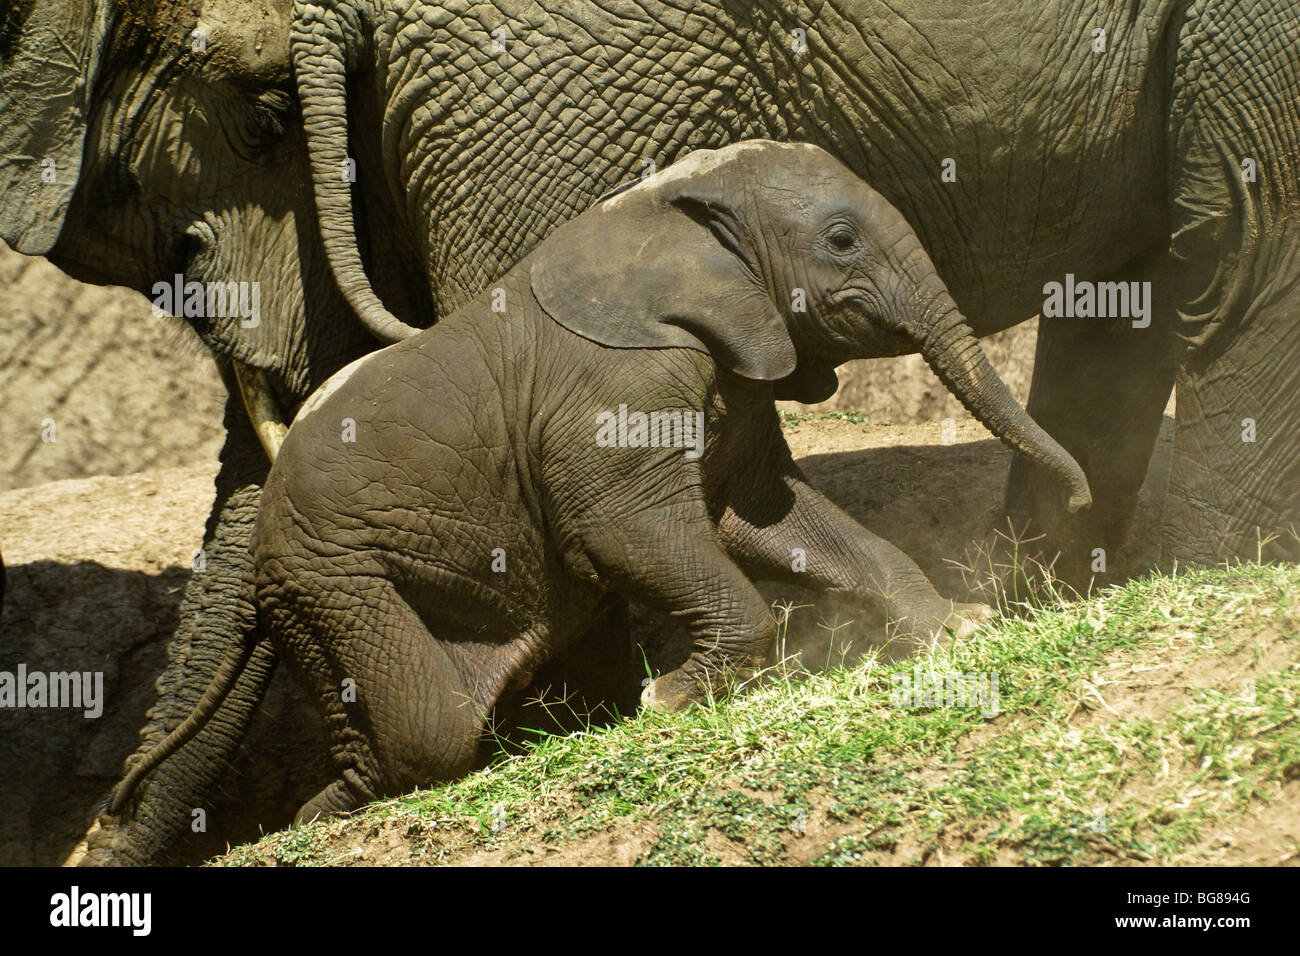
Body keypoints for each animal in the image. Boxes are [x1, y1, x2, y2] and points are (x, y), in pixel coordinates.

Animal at [111, 142, 1089, 824]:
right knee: (431, 727)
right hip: (326, 572)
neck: (673, 210)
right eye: (841, 242)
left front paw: (960, 629)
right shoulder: (617, 388)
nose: (1081, 502)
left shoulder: (730, 370)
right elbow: (625, 530)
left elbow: (770, 517)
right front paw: (668, 701)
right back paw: (329, 809)